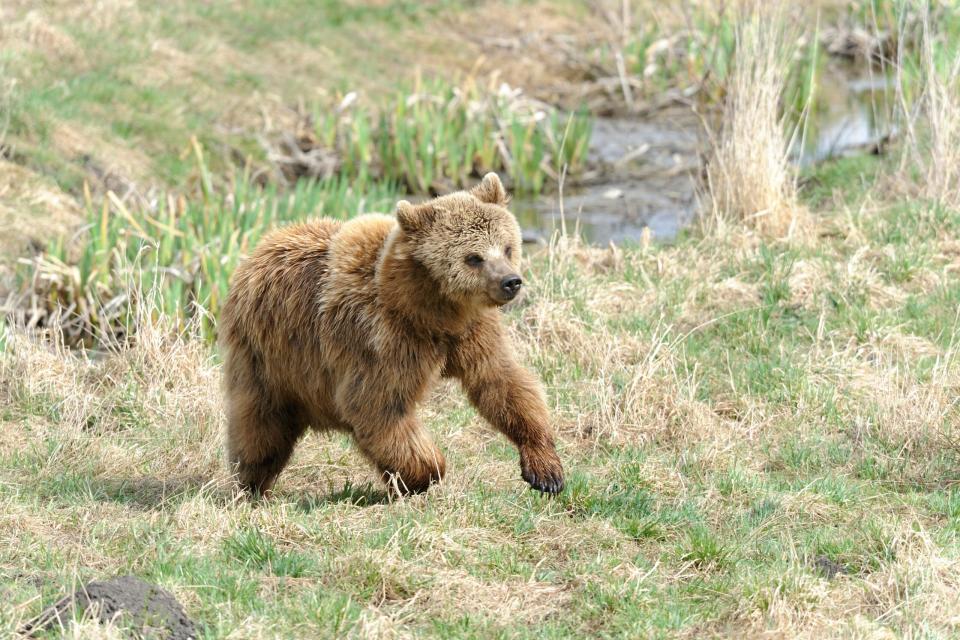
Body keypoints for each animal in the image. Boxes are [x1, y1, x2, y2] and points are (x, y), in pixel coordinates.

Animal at [218, 172, 564, 498]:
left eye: (507, 247)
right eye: (473, 257)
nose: (511, 281)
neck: (432, 312)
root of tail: (263, 245)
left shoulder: (472, 332)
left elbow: (501, 382)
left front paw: (545, 471)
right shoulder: (382, 341)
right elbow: (378, 407)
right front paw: (425, 472)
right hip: (268, 356)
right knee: (262, 426)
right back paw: (251, 484)